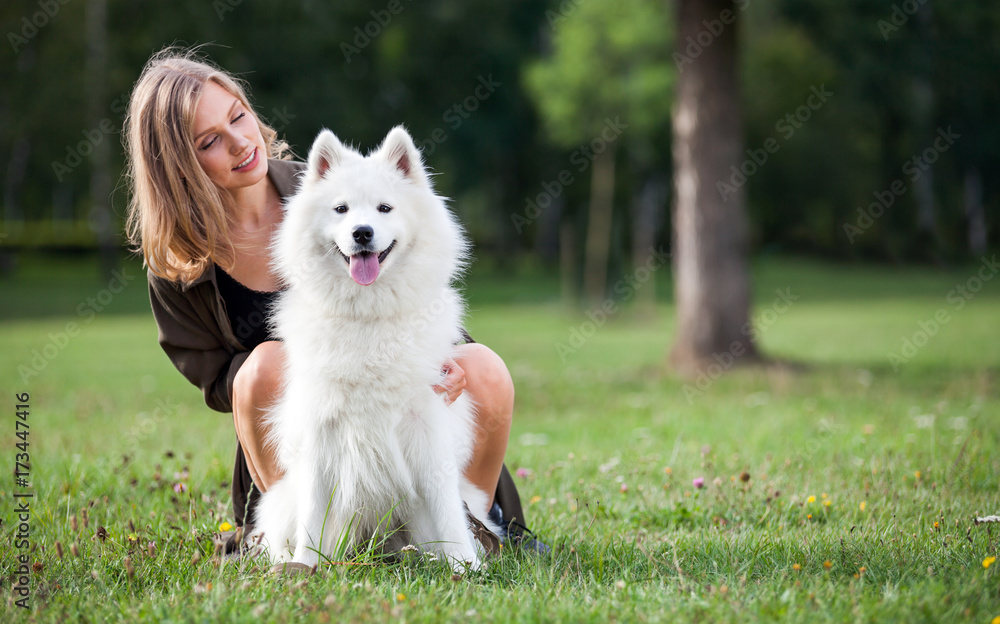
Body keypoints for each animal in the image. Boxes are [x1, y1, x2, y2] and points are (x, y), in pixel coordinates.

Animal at [254, 125, 496, 572]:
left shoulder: (428, 428)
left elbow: (448, 511)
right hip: (279, 501)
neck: (368, 318)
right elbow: (313, 513)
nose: (362, 232)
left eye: (385, 208)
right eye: (341, 209)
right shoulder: (321, 432)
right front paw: (305, 565)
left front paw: (465, 566)